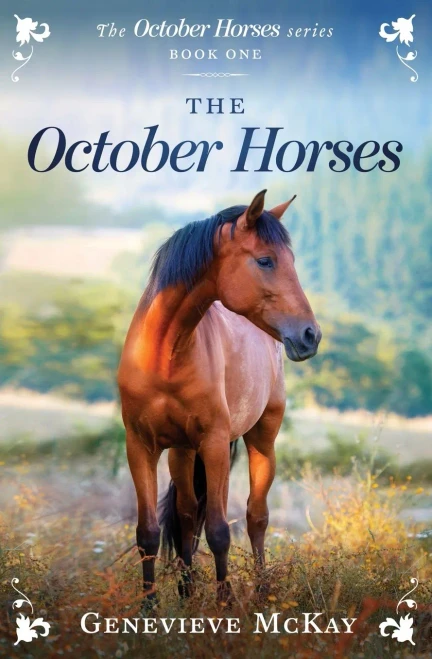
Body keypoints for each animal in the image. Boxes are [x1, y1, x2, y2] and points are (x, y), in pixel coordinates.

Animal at [118, 189, 321, 606]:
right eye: (265, 260)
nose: (311, 335)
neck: (166, 355)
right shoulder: (140, 445)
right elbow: (148, 533)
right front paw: (149, 609)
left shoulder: (213, 444)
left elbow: (219, 532)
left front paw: (224, 605)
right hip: (181, 452)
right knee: (185, 514)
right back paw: (186, 593)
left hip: (261, 439)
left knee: (256, 517)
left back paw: (261, 593)